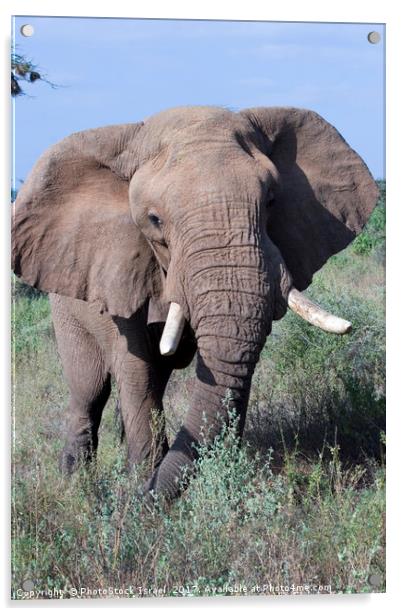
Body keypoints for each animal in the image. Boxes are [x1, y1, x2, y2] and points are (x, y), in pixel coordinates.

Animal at [11, 106, 378, 500]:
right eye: (154, 220)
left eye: (271, 201)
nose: (140, 498)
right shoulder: (116, 266)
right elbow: (134, 368)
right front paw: (140, 486)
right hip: (65, 304)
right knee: (89, 388)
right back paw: (74, 480)